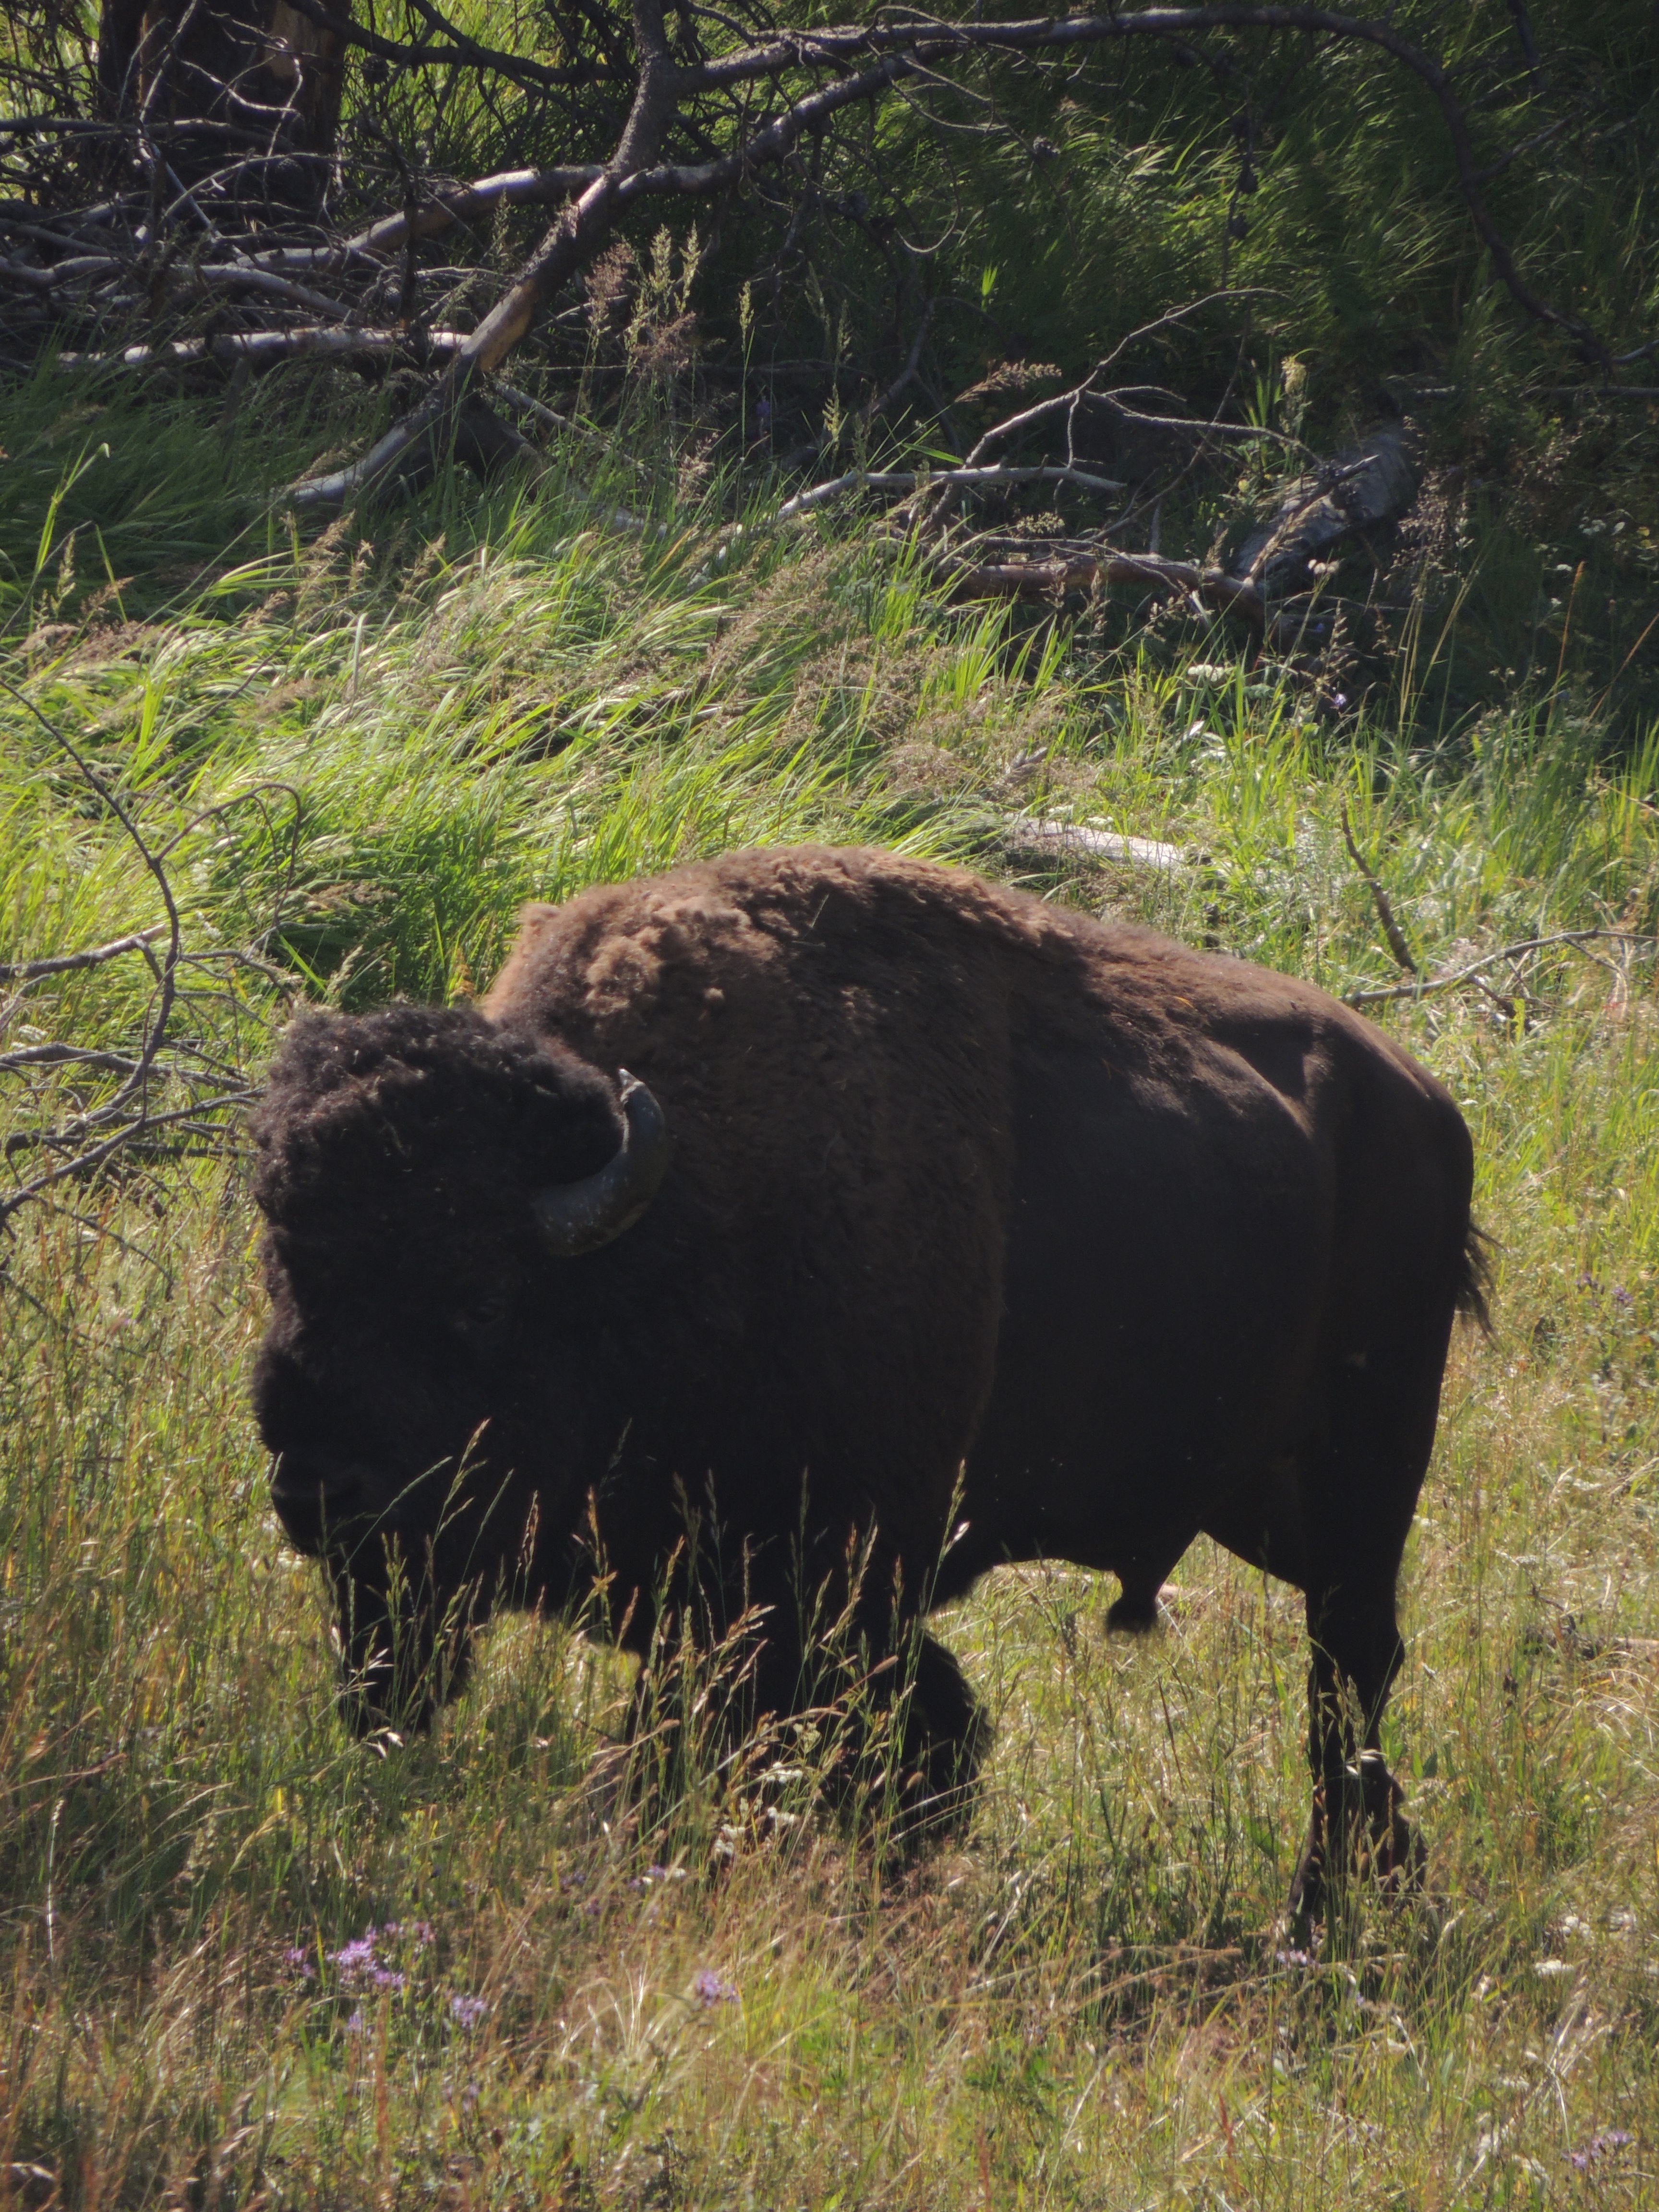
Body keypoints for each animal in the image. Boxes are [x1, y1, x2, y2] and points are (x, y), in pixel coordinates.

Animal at [250, 843, 1485, 1921]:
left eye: (480, 1300)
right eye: (288, 1274)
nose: (315, 1490)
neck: (677, 1231)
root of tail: (1422, 1100)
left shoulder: (825, 1577)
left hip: (1367, 1465)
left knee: (1348, 1668)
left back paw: (1320, 1920)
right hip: (1259, 1498)